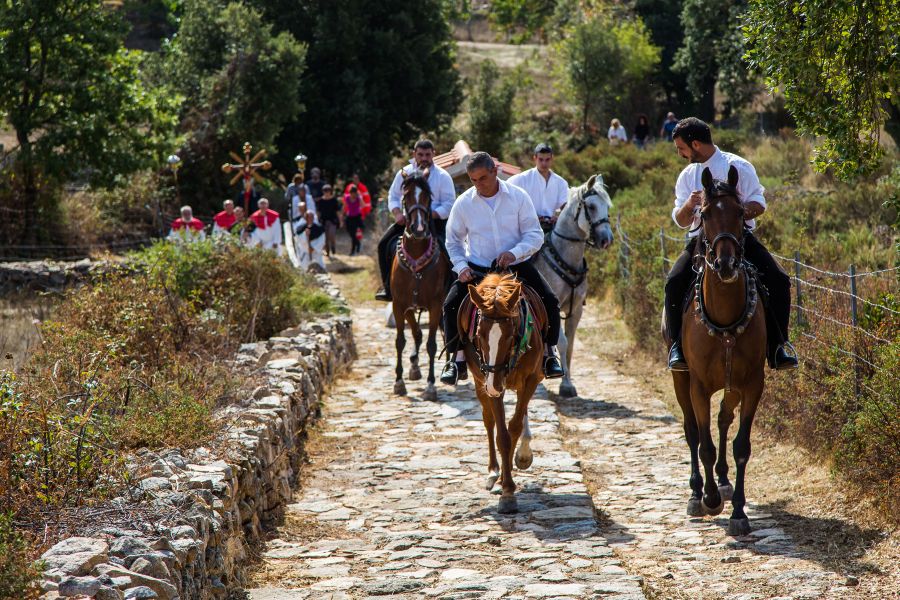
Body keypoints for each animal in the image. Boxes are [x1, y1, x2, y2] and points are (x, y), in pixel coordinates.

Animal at [388, 169, 448, 400]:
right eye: (405, 196)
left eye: (428, 197)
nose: (420, 228)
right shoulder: (399, 305)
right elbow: (401, 341)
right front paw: (399, 382)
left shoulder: (435, 305)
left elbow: (432, 344)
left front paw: (431, 386)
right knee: (416, 334)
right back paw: (414, 366)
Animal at [460, 272, 544, 510]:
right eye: (479, 333)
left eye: (510, 334)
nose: (494, 383)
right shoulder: (490, 384)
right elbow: (502, 435)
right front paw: (506, 489)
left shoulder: (531, 380)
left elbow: (514, 427)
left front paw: (510, 482)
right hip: (481, 383)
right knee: (488, 421)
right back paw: (493, 472)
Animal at [532, 175, 616, 398]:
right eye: (591, 206)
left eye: (607, 206)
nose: (607, 240)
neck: (564, 258)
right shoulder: (553, 306)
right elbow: (561, 342)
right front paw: (565, 384)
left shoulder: (576, 310)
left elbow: (569, 346)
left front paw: (566, 379)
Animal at [668, 166, 768, 536]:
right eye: (705, 214)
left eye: (740, 213)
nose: (725, 264)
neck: (724, 321)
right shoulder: (697, 386)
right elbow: (704, 444)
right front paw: (709, 499)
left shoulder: (752, 384)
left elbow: (741, 446)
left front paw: (738, 511)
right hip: (681, 381)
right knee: (691, 432)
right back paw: (697, 492)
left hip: (732, 386)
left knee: (724, 419)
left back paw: (724, 482)